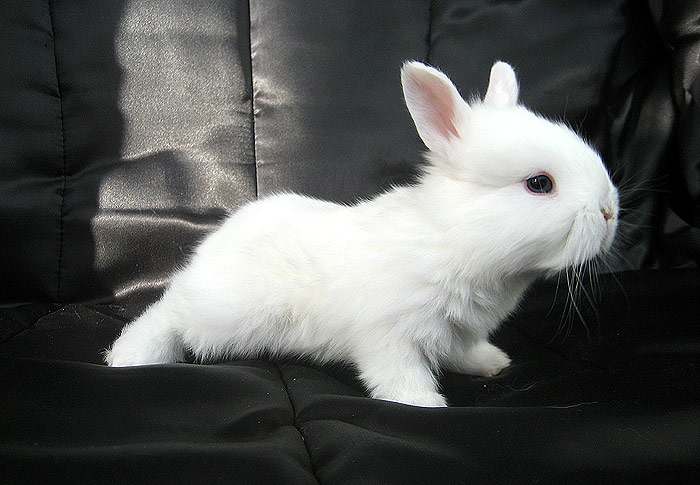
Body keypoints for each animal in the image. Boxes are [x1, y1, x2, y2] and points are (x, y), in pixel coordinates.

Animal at [106, 61, 619, 407]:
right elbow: (399, 376)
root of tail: (210, 250)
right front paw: (425, 406)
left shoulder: (457, 329)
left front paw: (491, 363)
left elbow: (461, 350)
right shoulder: (390, 334)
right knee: (167, 313)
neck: (453, 237)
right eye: (540, 184)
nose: (610, 210)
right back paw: (129, 356)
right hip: (220, 313)